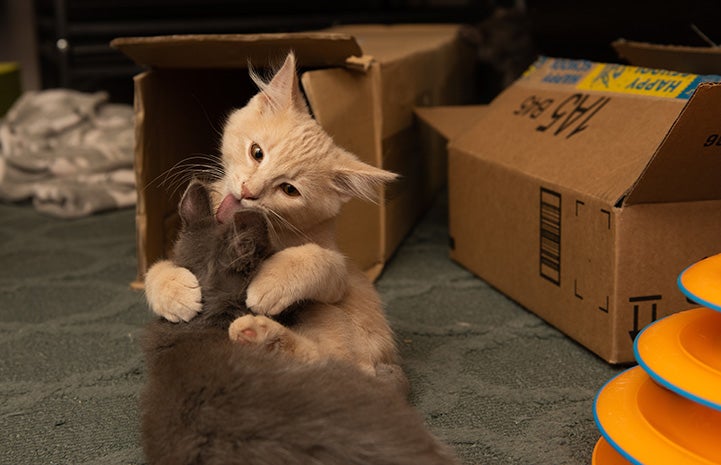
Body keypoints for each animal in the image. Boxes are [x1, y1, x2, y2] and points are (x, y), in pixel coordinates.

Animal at [145, 50, 404, 384]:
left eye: (289, 190)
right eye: (257, 152)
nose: (249, 191)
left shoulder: (340, 276)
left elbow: (320, 258)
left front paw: (271, 283)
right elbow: (156, 267)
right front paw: (174, 292)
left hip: (333, 321)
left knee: (327, 360)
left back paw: (258, 335)